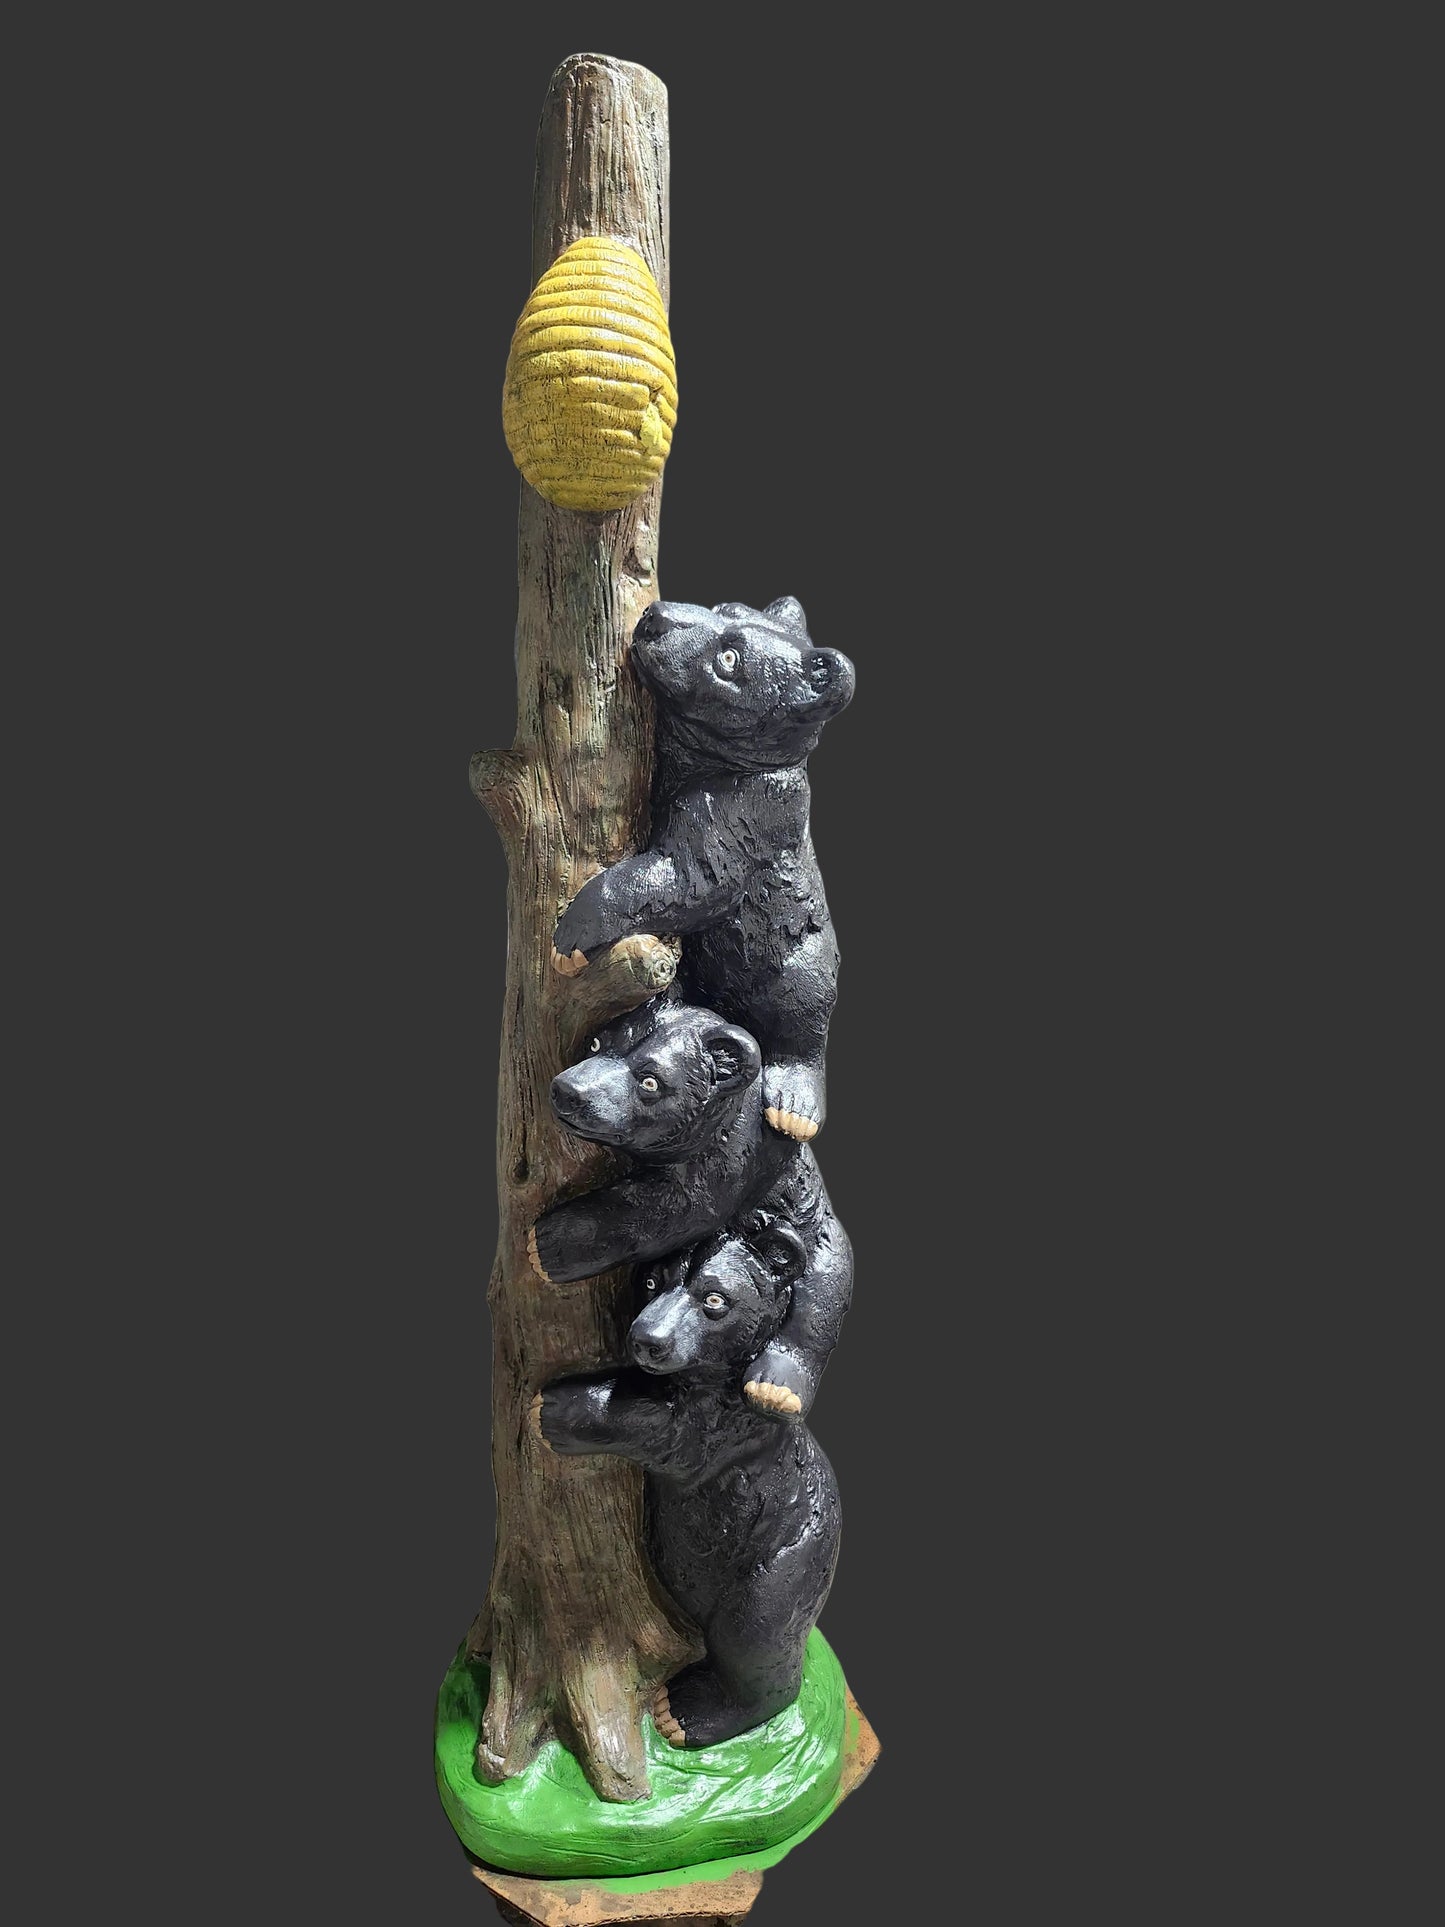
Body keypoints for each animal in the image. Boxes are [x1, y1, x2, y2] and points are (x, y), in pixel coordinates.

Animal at [529, 996, 852, 1425]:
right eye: (596, 1044)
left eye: (650, 1081)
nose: (569, 1090)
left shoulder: (735, 1157)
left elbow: (672, 1210)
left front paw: (547, 1243)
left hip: (821, 1242)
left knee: (820, 1297)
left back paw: (776, 1387)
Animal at [535, 1224, 842, 1748]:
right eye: (651, 1282)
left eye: (714, 1299)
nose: (647, 1339)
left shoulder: (737, 1426)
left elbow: (674, 1437)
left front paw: (556, 1406)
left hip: (791, 1556)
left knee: (757, 1632)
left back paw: (683, 1710)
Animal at [550, 596, 855, 1143]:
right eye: (722, 605)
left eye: (729, 659)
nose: (656, 617)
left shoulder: (738, 811)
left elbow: (688, 880)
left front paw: (571, 941)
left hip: (799, 958)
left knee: (804, 1015)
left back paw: (794, 1105)